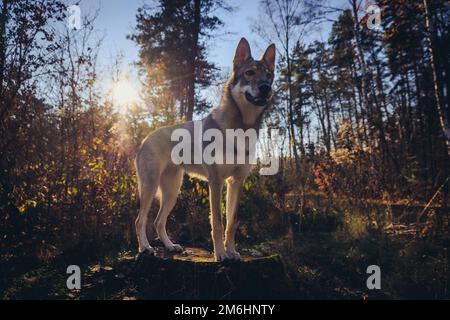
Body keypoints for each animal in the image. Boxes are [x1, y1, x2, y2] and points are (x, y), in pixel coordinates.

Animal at [134, 38, 274, 262]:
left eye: (269, 75)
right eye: (250, 73)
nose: (265, 88)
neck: (241, 127)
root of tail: (146, 138)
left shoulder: (236, 182)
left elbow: (231, 223)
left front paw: (232, 252)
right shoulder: (216, 182)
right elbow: (217, 222)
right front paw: (221, 254)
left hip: (172, 192)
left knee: (158, 221)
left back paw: (171, 246)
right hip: (150, 187)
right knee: (140, 220)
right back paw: (145, 248)